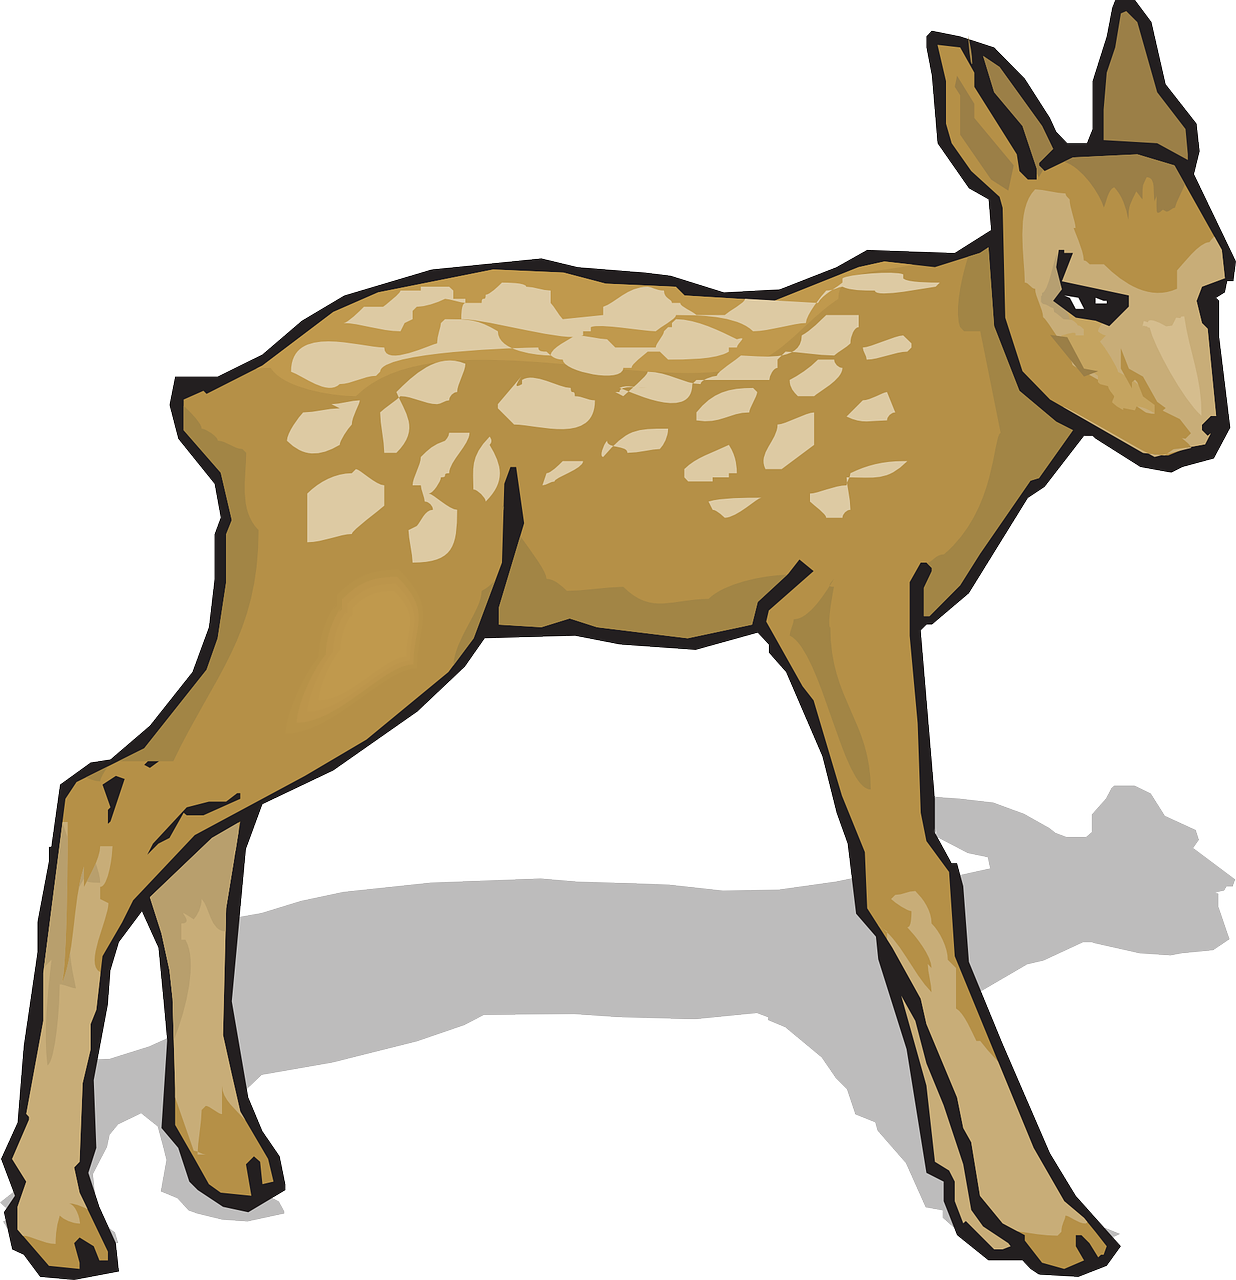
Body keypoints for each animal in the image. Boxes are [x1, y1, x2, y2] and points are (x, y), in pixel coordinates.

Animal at [4, 2, 1228, 1275]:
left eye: (1216, 279)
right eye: (1085, 293)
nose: (1202, 431)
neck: (968, 399)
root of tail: (215, 412)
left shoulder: (855, 607)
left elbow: (889, 865)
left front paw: (974, 1201)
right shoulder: (842, 588)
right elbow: (912, 873)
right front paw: (1049, 1215)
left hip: (308, 601)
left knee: (199, 818)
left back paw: (227, 1154)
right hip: (378, 601)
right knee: (115, 794)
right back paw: (60, 1214)